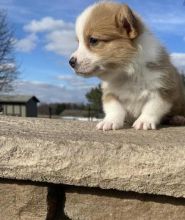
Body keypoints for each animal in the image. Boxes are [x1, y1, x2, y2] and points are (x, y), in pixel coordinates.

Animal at [69, 1, 185, 131]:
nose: (71, 62)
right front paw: (109, 121)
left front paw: (144, 121)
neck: (127, 73)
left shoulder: (164, 88)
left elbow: (152, 107)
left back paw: (178, 119)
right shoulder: (109, 93)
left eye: (93, 40)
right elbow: (115, 108)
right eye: (79, 42)